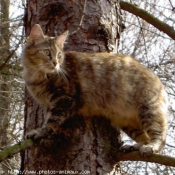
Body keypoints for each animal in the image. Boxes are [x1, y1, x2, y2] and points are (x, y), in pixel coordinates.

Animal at [21, 23, 168, 157]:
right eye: (47, 52)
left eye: (59, 55)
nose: (55, 63)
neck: (37, 75)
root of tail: (157, 79)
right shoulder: (49, 103)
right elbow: (48, 118)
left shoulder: (65, 98)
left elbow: (51, 121)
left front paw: (41, 132)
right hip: (128, 123)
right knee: (145, 138)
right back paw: (134, 147)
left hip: (148, 110)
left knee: (159, 137)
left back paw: (150, 147)